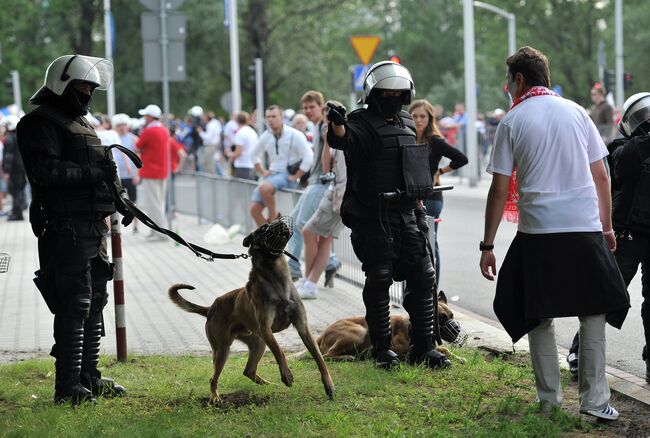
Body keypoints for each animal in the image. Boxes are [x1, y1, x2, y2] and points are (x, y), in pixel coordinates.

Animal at [167, 216, 334, 404]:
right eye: (263, 228)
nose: (281, 221)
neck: (276, 278)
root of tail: (210, 309)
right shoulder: (266, 328)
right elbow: (279, 351)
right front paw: (287, 374)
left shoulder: (302, 327)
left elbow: (319, 358)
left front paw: (328, 384)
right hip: (224, 349)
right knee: (214, 377)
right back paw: (215, 397)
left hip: (258, 342)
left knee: (248, 370)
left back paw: (269, 385)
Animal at [316, 292, 464, 364]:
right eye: (441, 318)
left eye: (452, 315)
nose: (457, 330)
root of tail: (322, 334)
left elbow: (444, 349)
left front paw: (458, 357)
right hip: (358, 332)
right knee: (326, 355)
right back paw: (347, 357)